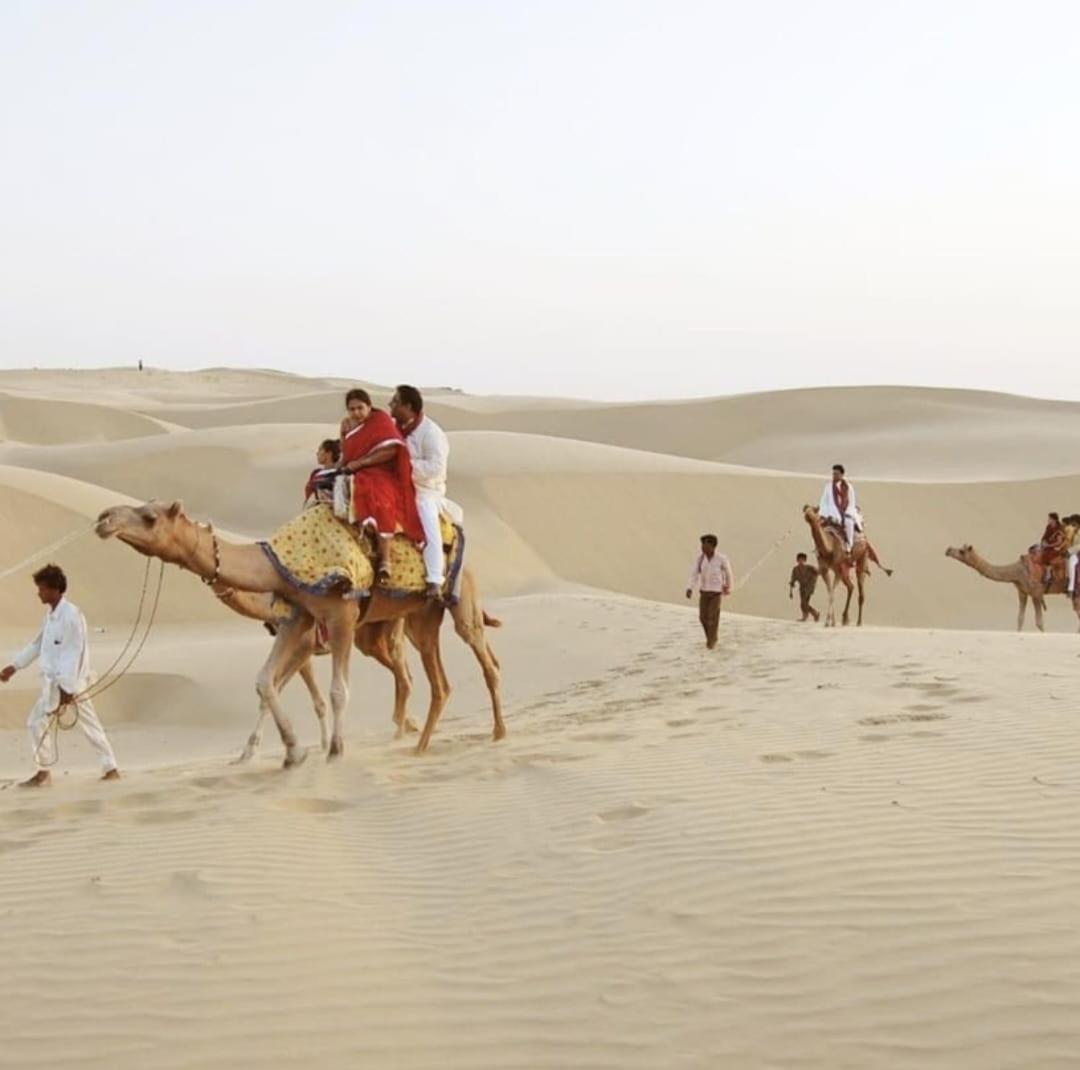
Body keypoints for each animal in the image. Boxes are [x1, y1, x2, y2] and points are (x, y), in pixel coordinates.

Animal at [212, 574, 503, 764]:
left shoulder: (304, 645)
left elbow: (276, 692)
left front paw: (253, 751)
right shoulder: (303, 650)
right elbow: (279, 691)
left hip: (390, 632)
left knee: (406, 674)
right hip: (380, 635)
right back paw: (408, 726)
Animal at [946, 548, 1080, 630]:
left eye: (962, 551)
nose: (948, 549)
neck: (1017, 571)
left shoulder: (1036, 592)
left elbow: (1039, 622)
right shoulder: (1022, 591)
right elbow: (1020, 618)